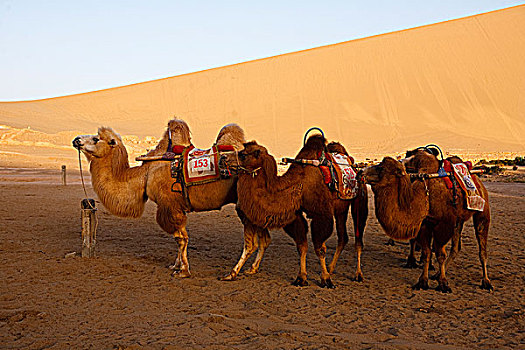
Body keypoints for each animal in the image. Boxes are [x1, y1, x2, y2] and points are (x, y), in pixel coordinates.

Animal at [71, 119, 246, 278]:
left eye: (96, 139)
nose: (76, 140)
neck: (145, 175)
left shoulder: (169, 206)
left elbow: (181, 239)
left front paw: (183, 271)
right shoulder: (175, 207)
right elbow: (180, 239)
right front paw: (176, 265)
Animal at [222, 134, 368, 288]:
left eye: (243, 154)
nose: (223, 158)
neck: (299, 184)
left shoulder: (321, 214)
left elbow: (319, 248)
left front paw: (326, 279)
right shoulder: (295, 215)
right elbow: (301, 245)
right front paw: (301, 278)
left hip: (359, 200)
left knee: (358, 237)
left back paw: (358, 274)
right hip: (341, 209)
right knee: (343, 237)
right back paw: (331, 268)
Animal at [360, 153, 492, 292]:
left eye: (381, 168)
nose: (360, 172)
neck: (425, 196)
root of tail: (477, 179)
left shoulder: (443, 224)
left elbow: (440, 254)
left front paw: (443, 284)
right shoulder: (425, 224)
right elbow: (427, 253)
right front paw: (423, 281)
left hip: (483, 211)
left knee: (482, 247)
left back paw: (486, 282)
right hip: (459, 220)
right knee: (456, 248)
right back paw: (437, 274)